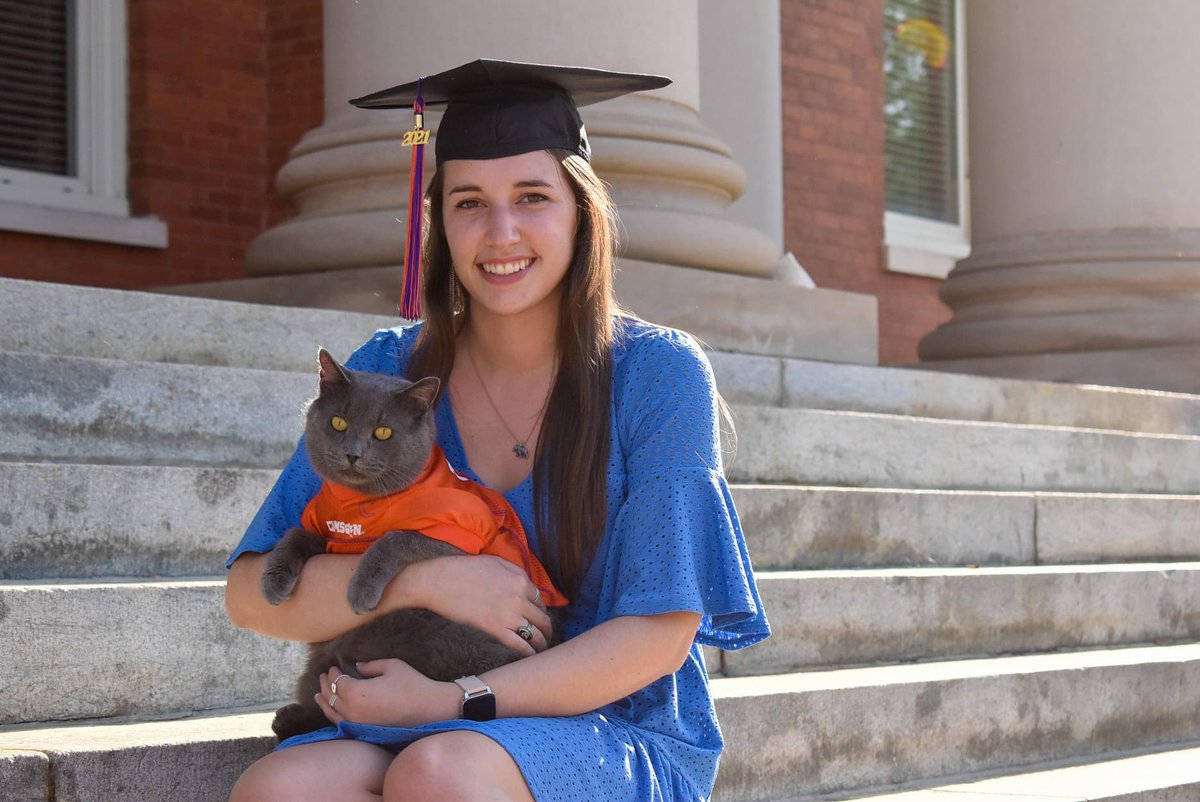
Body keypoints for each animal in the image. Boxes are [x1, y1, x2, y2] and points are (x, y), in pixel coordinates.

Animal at [262, 348, 549, 744]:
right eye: (338, 423)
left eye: (383, 432)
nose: (352, 453)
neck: (361, 504)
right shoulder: (325, 530)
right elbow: (295, 534)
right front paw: (274, 581)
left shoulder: (460, 541)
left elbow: (396, 538)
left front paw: (361, 590)